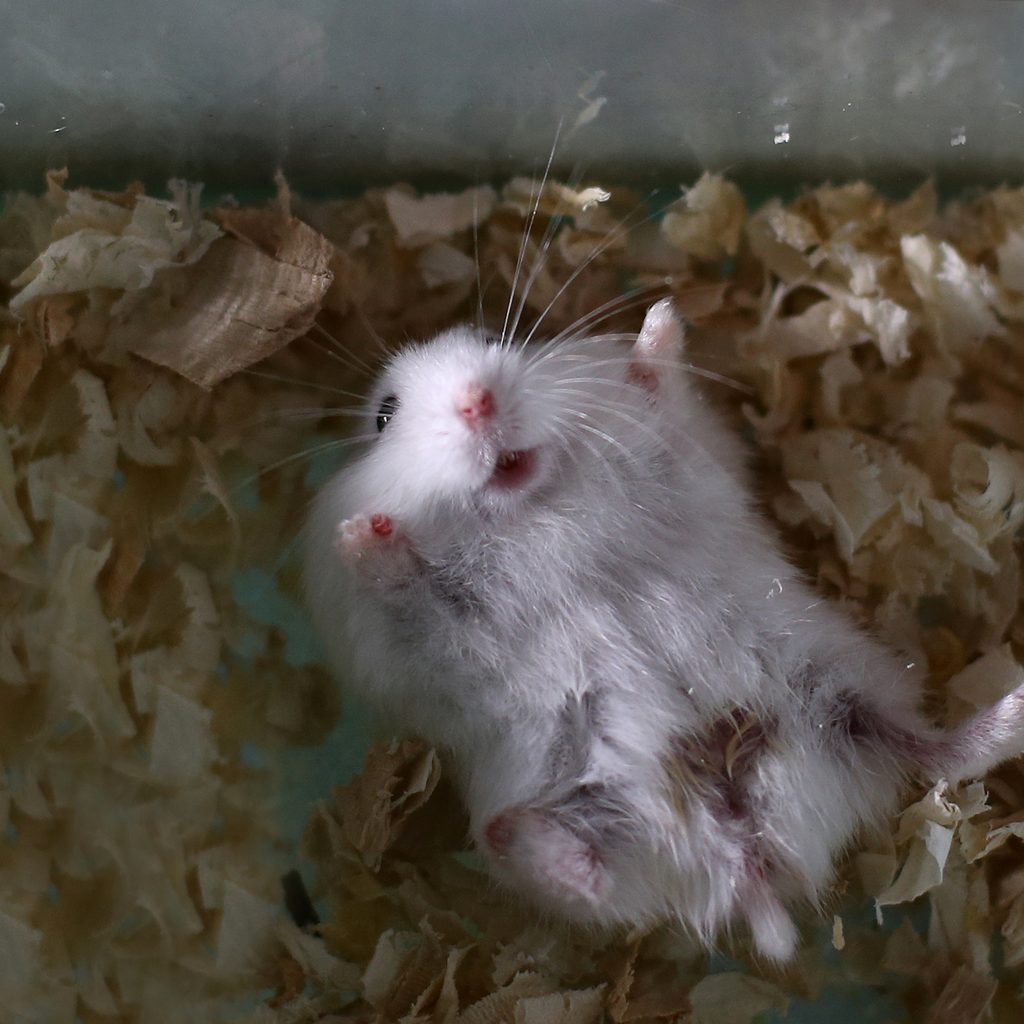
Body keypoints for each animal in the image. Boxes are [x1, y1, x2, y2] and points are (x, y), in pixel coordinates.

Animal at [304, 299, 1024, 961]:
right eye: (385, 414)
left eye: (492, 339)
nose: (478, 402)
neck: (533, 507)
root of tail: (742, 847)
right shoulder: (404, 640)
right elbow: (411, 593)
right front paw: (364, 533)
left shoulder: (680, 450)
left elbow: (659, 390)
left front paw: (659, 319)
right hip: (576, 791)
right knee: (567, 865)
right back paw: (538, 840)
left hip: (840, 686)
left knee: (936, 752)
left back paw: (1011, 710)